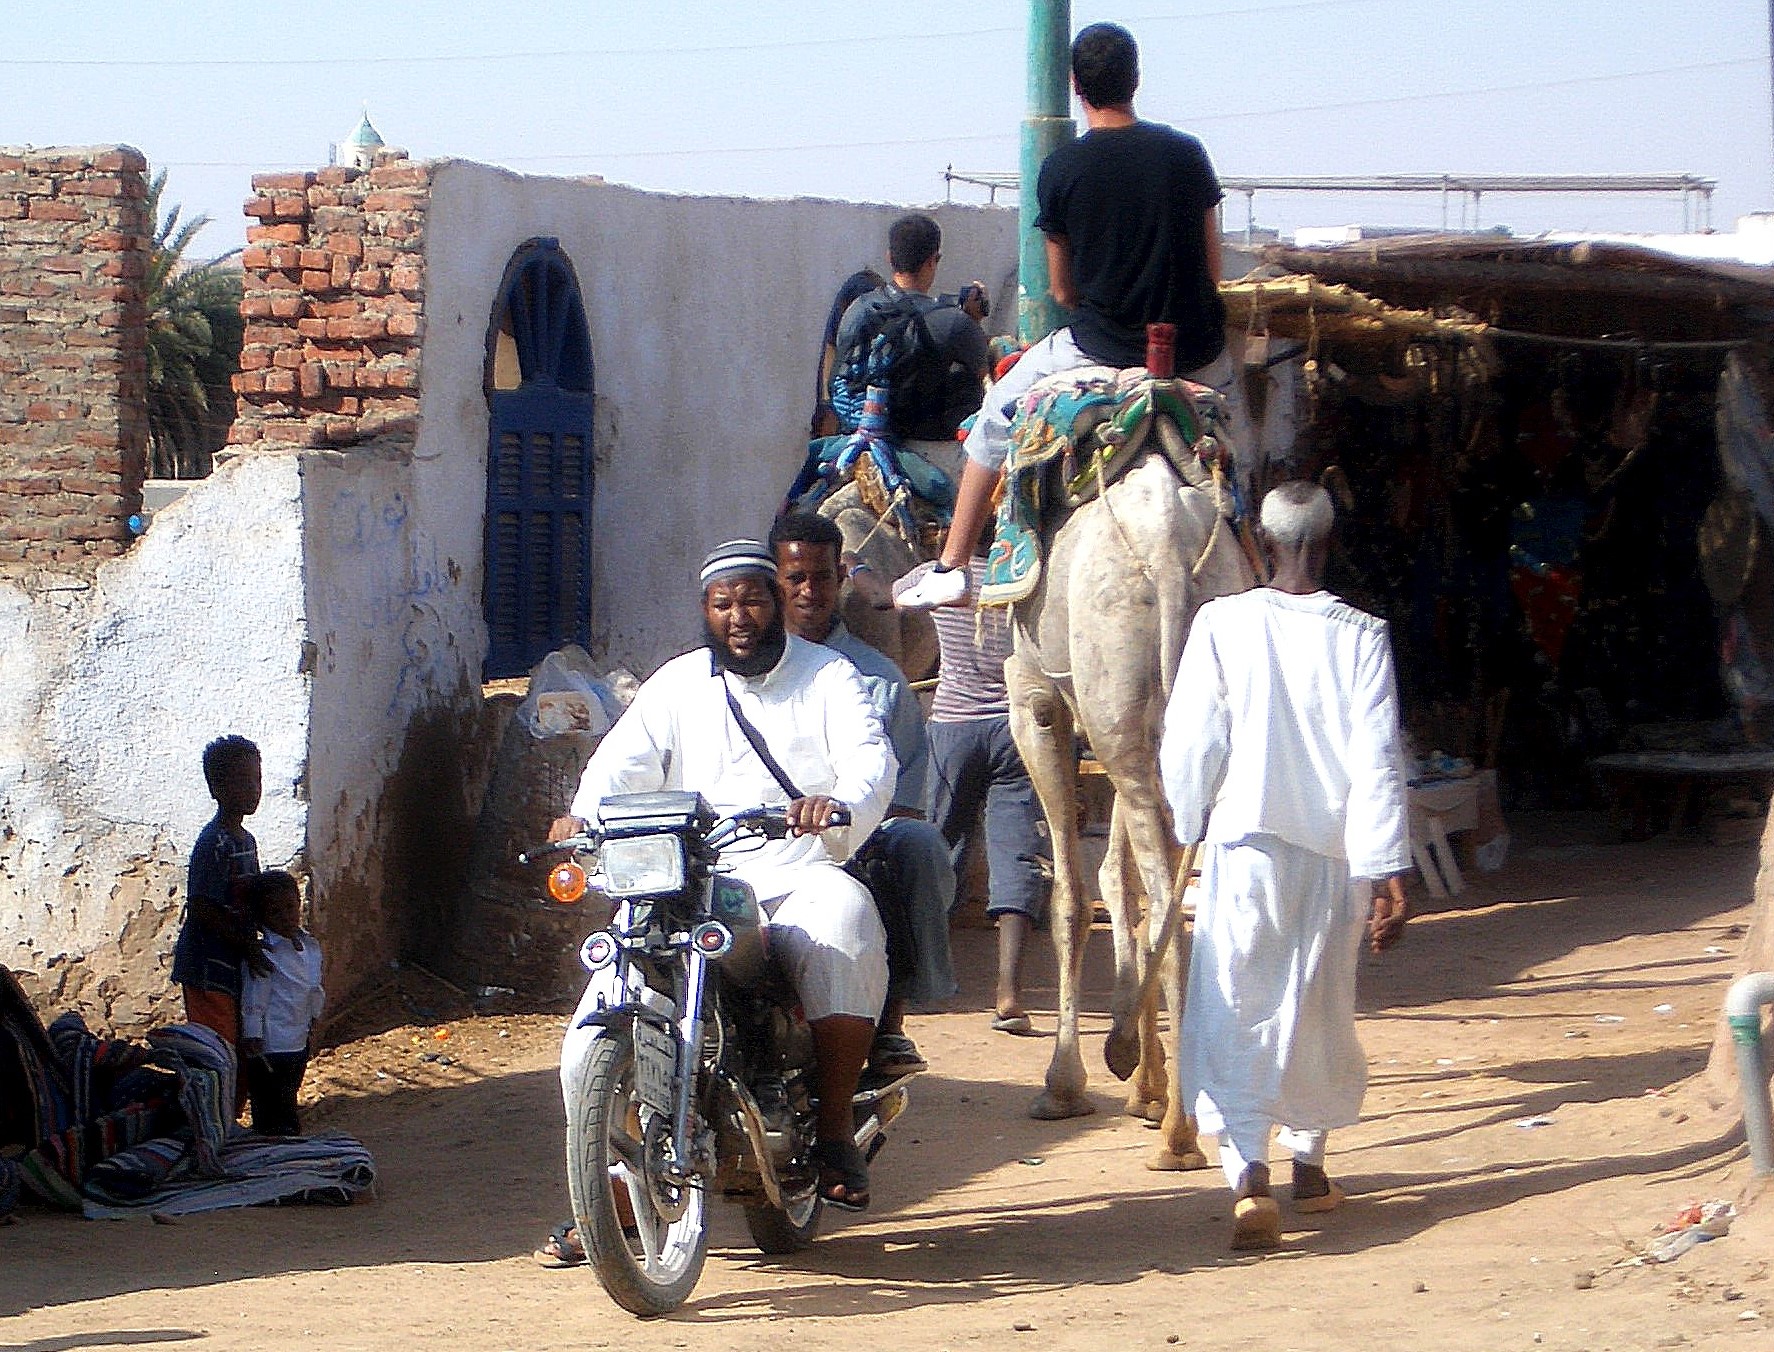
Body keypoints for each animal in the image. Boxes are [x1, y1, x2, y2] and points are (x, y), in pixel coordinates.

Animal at [1007, 385, 1255, 1163]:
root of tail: (1169, 546)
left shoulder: (1037, 704)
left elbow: (1072, 893)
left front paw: (1065, 1084)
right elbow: (1123, 885)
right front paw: (1140, 1080)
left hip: (1110, 690)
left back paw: (1178, 1133)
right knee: (1175, 881)